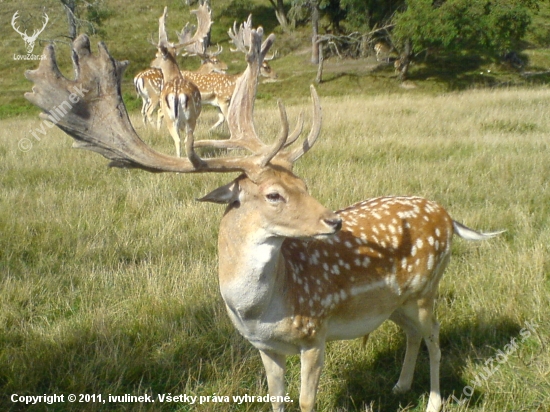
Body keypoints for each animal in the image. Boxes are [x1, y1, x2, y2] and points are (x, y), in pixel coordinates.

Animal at [27, 25, 504, 412]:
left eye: (304, 182)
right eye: (274, 193)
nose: (333, 222)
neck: (261, 310)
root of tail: (446, 214)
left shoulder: (315, 332)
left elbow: (307, 403)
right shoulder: (263, 348)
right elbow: (276, 400)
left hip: (428, 287)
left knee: (436, 338)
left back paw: (434, 401)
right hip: (396, 302)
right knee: (411, 334)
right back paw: (400, 387)